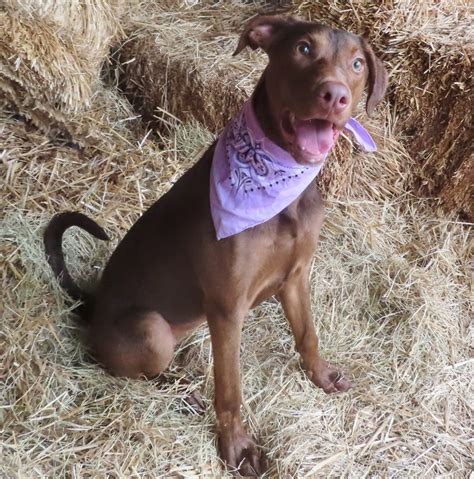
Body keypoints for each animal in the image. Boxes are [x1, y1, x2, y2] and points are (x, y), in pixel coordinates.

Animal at [44, 15, 386, 476]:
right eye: (302, 48)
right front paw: (238, 447)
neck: (282, 190)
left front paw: (321, 374)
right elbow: (230, 388)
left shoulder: (296, 276)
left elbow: (308, 334)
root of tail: (92, 306)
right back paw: (180, 388)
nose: (335, 95)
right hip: (152, 330)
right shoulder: (227, 307)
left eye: (357, 63)